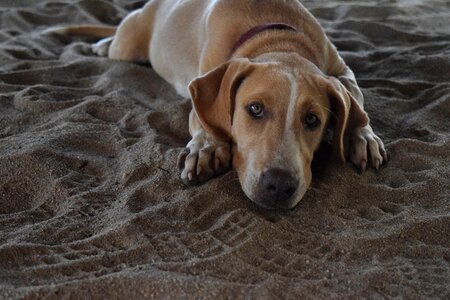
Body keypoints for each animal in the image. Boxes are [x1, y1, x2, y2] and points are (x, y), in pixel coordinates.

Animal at [45, 0, 386, 209]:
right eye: (255, 109)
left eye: (312, 119)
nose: (279, 186)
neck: (278, 39)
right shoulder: (203, 82)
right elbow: (202, 117)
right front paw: (207, 147)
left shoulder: (341, 69)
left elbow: (355, 95)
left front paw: (362, 136)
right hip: (128, 45)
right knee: (115, 40)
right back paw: (101, 45)